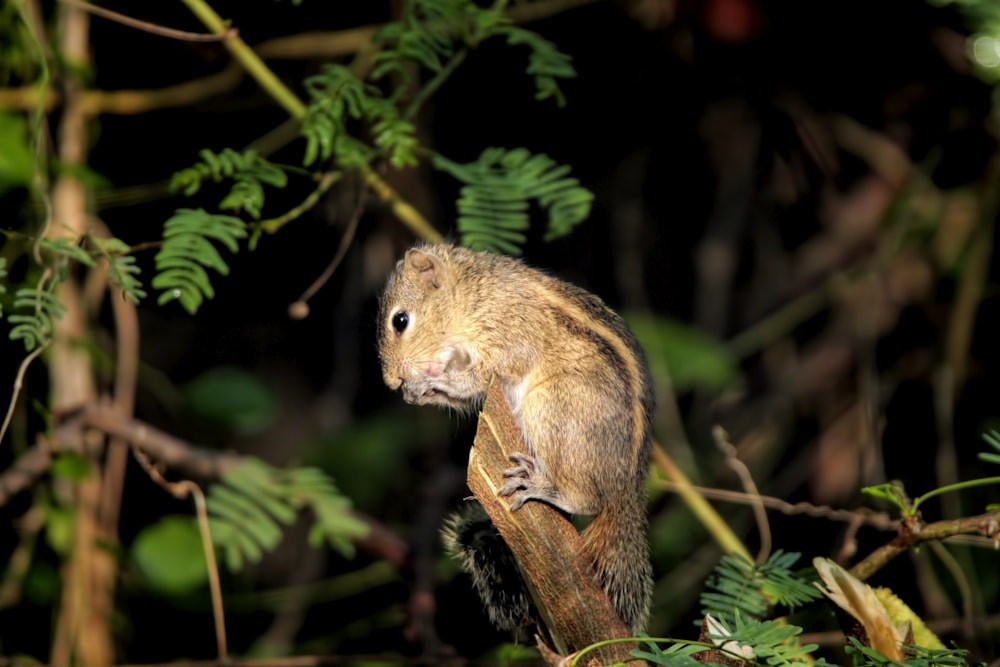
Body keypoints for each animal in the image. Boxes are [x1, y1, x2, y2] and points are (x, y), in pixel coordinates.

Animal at [376, 243, 656, 636]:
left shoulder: (507, 332)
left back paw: (544, 486)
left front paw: (436, 381)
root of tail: (628, 488)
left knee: (586, 499)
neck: (471, 293)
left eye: (400, 320)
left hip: (552, 406)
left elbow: (484, 374)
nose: (390, 381)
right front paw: (418, 391)